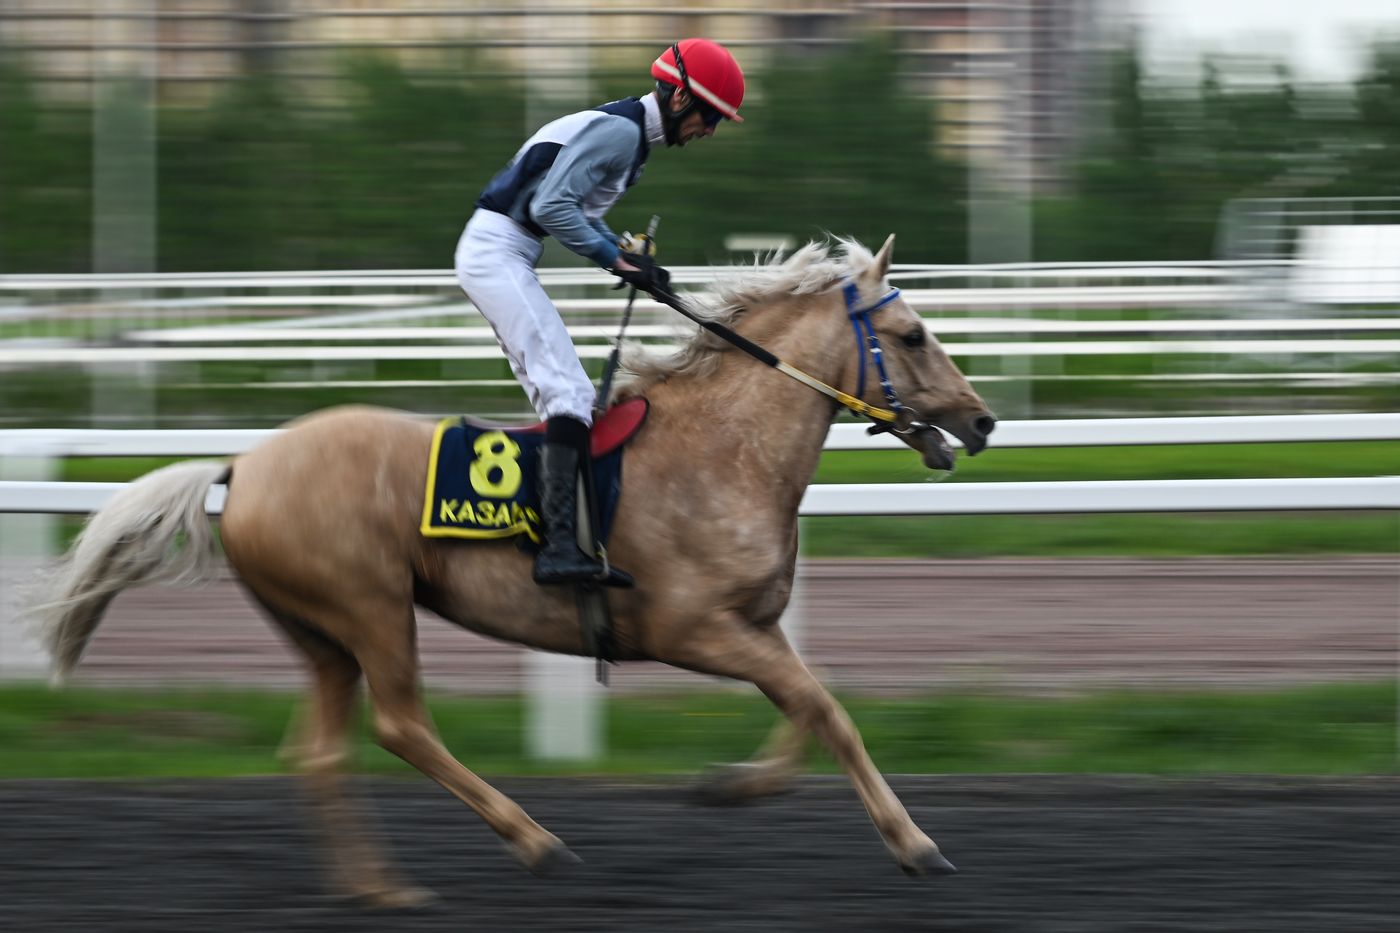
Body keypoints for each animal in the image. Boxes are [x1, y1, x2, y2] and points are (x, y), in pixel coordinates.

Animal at [29, 234, 995, 906]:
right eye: (913, 334)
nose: (982, 420)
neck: (724, 450)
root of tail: (242, 465)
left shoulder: (752, 627)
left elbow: (811, 707)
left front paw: (728, 784)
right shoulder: (691, 627)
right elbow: (827, 711)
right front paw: (916, 844)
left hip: (322, 634)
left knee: (317, 749)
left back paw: (379, 885)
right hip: (373, 606)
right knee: (402, 726)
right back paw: (532, 840)